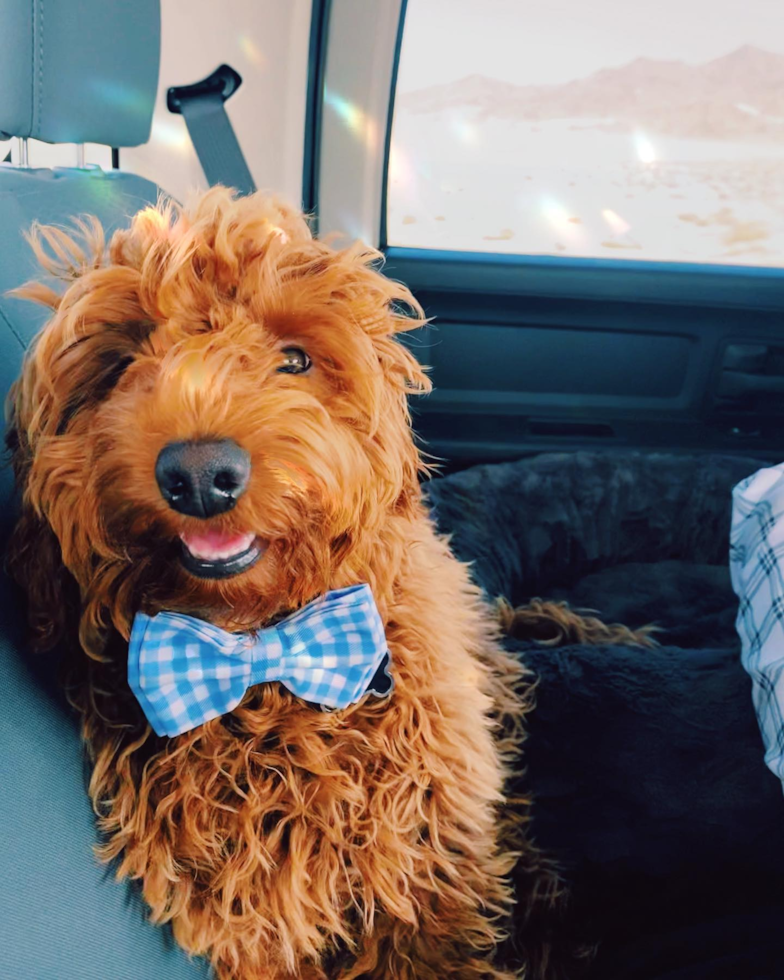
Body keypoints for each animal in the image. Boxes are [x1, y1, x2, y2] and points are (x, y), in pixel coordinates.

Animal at [7, 188, 648, 976]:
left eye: (295, 359)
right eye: (122, 363)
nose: (200, 475)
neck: (263, 654)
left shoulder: (428, 880)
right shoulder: (255, 923)